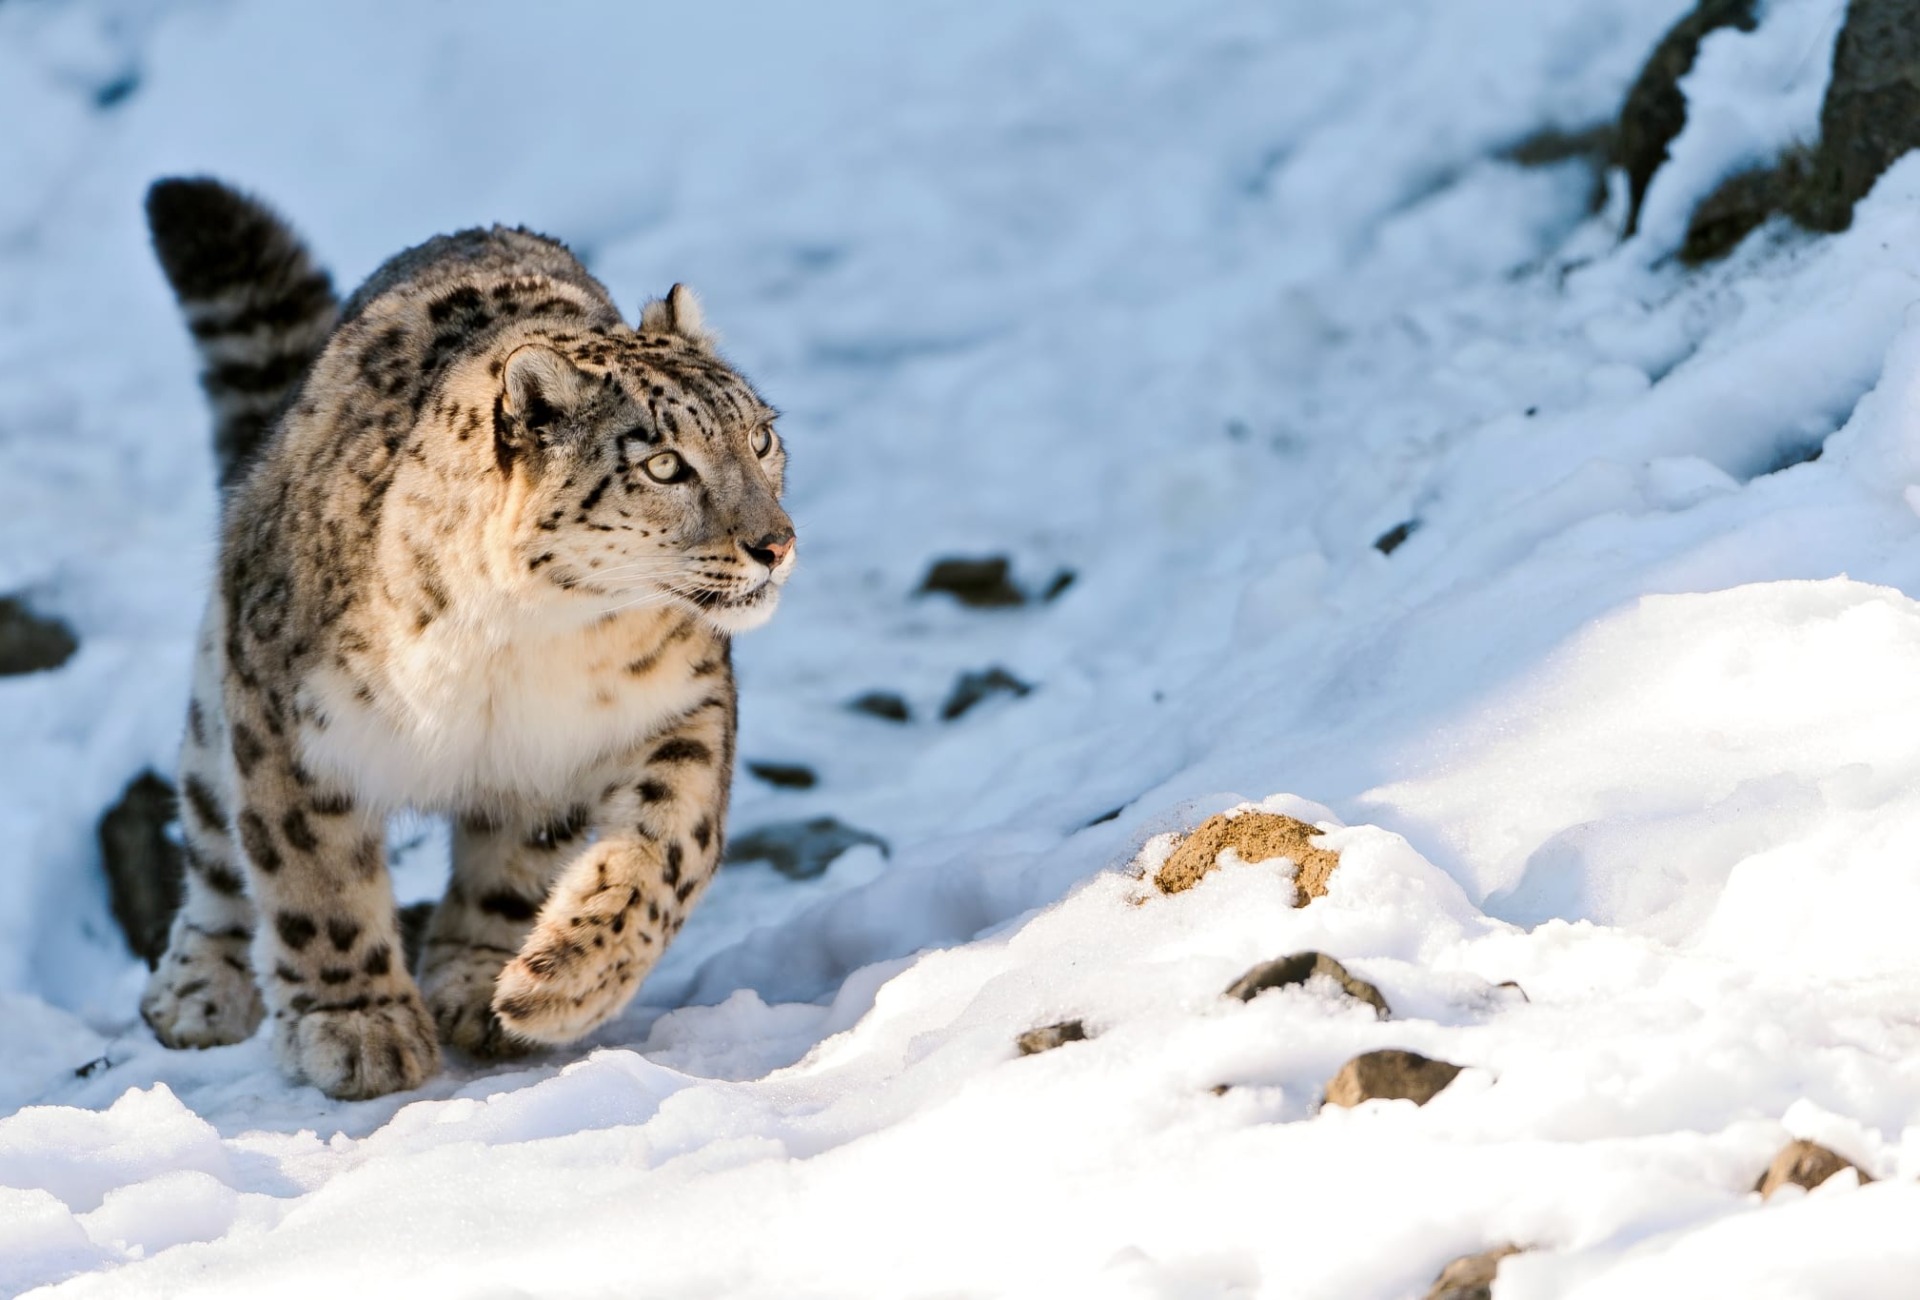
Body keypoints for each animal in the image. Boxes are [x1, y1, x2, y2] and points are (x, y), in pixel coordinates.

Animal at [139, 179, 791, 1098]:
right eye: (665, 465)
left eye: (760, 435)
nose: (777, 543)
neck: (524, 643)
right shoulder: (287, 720)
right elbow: (313, 876)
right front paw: (359, 1025)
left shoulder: (674, 706)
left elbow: (667, 847)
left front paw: (556, 981)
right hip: (218, 691)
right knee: (212, 842)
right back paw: (199, 989)